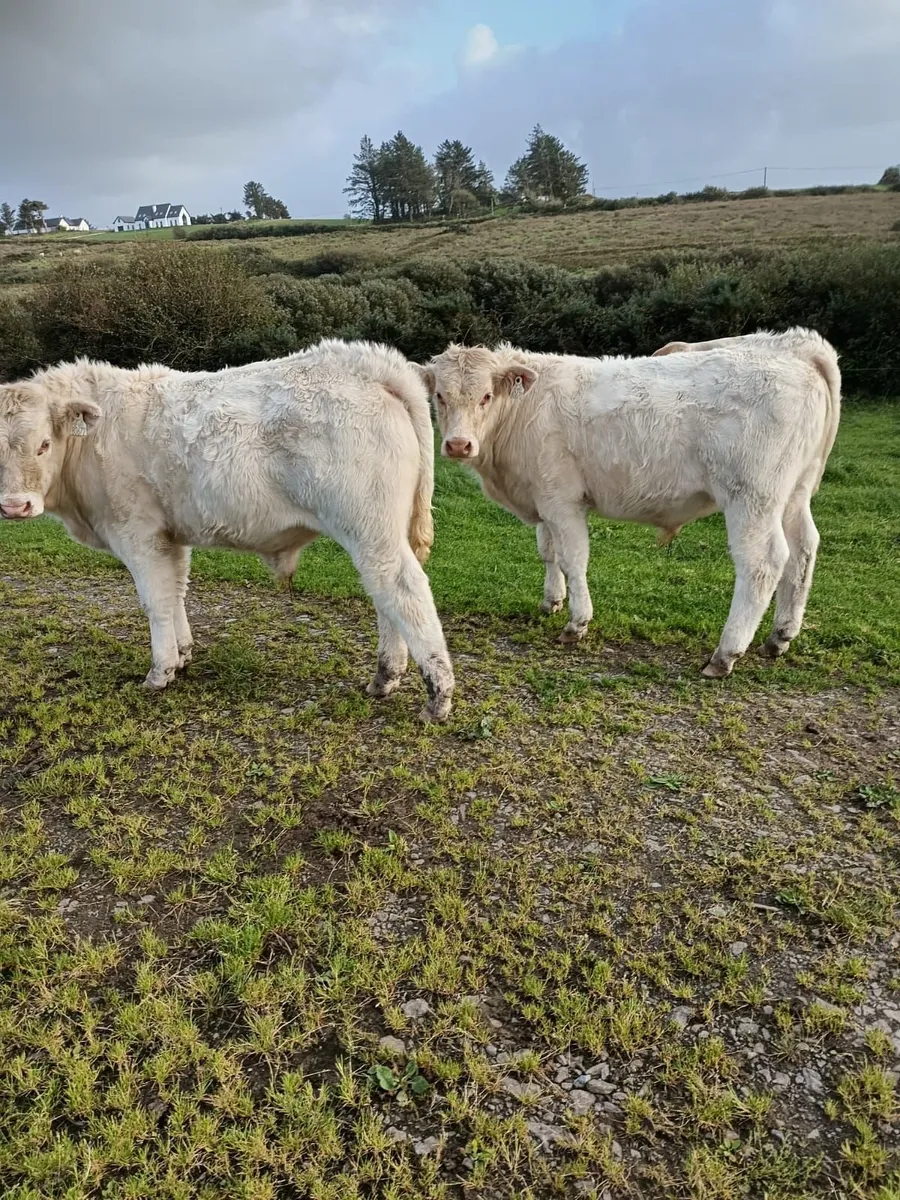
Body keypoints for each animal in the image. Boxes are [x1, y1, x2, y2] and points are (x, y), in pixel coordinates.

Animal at [0, 340, 454, 721]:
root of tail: (367, 360)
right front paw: (183, 653)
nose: (14, 506)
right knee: (385, 598)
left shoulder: (137, 533)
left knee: (404, 590)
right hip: (380, 532)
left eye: (43, 444)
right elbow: (176, 592)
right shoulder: (170, 536)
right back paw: (385, 678)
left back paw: (437, 696)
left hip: (369, 528)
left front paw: (160, 671)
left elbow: (155, 602)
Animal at [419, 329, 841, 677]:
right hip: (793, 494)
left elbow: (573, 559)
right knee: (803, 551)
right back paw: (780, 635)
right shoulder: (542, 497)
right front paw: (551, 601)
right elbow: (548, 552)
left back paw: (726, 654)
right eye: (439, 396)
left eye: (485, 397)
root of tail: (795, 348)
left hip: (752, 497)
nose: (458, 445)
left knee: (763, 564)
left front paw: (576, 623)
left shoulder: (562, 500)